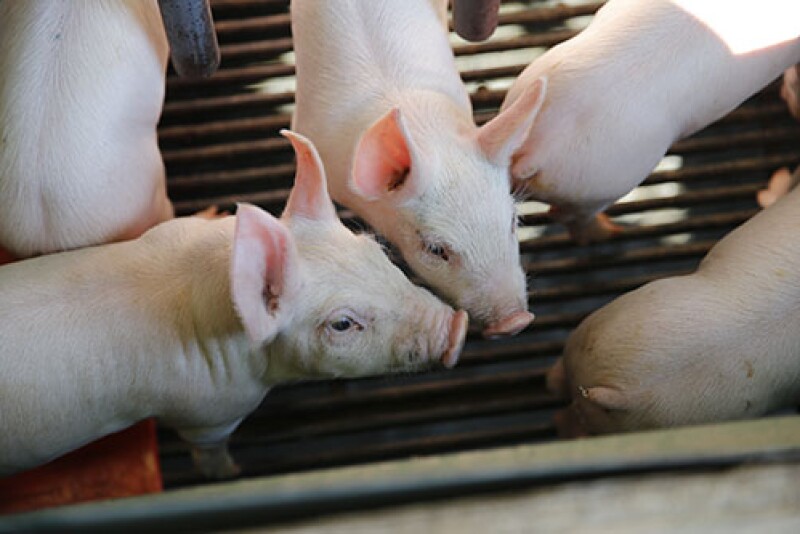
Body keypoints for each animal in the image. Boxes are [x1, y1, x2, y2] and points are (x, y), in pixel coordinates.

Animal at [0, 131, 468, 478]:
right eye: (342, 324)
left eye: (375, 250)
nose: (458, 327)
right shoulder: (208, 411)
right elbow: (208, 449)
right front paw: (233, 472)